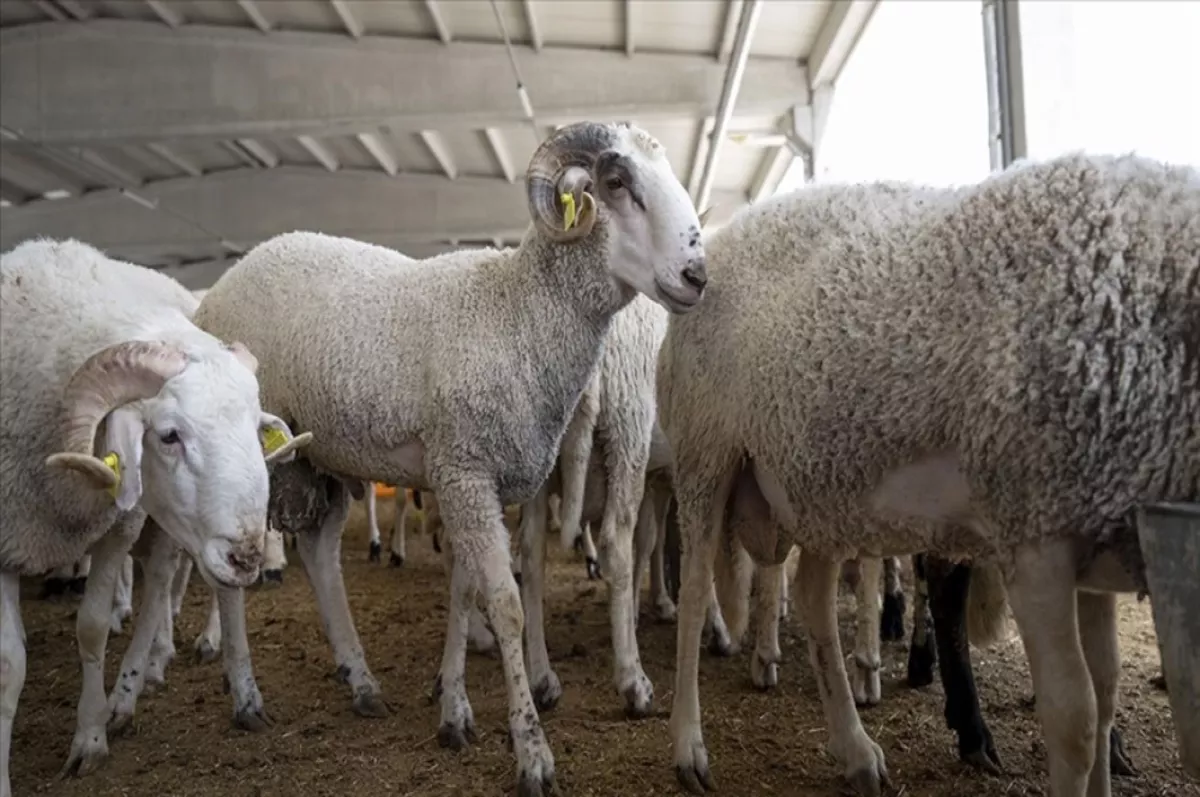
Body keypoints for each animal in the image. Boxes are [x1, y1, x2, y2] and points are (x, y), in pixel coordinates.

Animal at [1, 237, 309, 797]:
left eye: (255, 428)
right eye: (168, 435)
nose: (248, 555)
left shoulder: (116, 528)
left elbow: (93, 628)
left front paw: (90, 738)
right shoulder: (10, 534)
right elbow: (10, 665)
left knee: (166, 582)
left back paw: (150, 685)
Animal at [192, 120, 705, 797]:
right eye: (617, 182)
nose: (698, 275)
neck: (515, 313)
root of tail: (220, 286)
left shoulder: (465, 476)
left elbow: (463, 591)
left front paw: (455, 711)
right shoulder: (464, 471)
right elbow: (506, 605)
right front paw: (532, 751)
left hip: (319, 454)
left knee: (321, 553)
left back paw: (360, 681)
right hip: (246, 450)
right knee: (232, 569)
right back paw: (246, 696)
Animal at [657, 153, 1200, 797]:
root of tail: (725, 236)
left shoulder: (1091, 532)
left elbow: (1109, 689)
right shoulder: (1033, 536)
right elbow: (1076, 720)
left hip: (816, 484)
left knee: (814, 597)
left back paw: (855, 749)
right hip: (704, 452)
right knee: (695, 591)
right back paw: (689, 747)